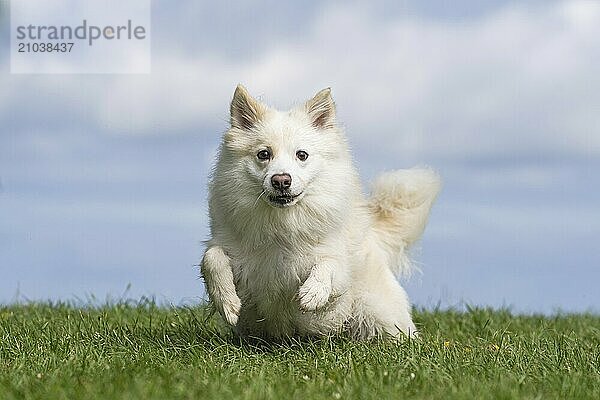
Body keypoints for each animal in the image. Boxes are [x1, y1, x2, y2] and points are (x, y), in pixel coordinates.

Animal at [202, 86, 440, 340]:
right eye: (263, 154)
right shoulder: (229, 246)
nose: (281, 180)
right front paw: (228, 304)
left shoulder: (333, 257)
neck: (282, 223)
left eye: (302, 155)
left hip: (380, 314)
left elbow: (329, 264)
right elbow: (212, 259)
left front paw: (312, 294)